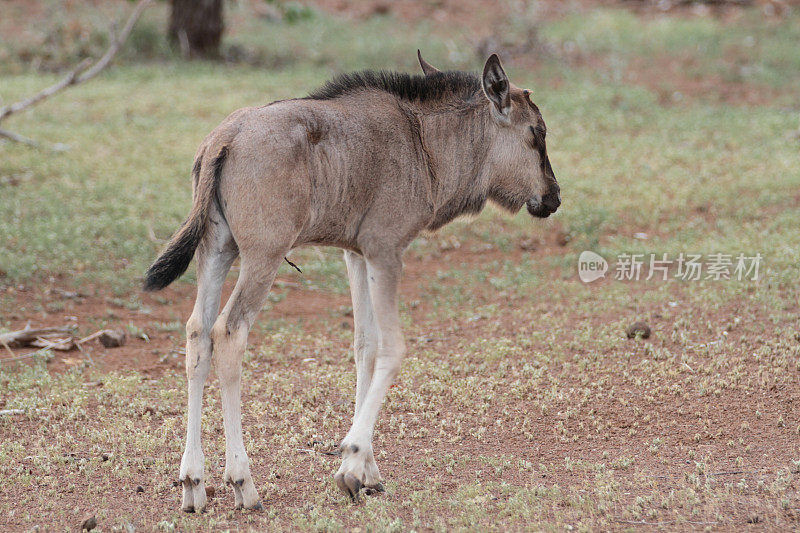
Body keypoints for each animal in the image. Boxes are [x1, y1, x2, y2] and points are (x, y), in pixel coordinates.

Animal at [144, 51, 560, 512]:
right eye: (536, 133)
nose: (554, 196)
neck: (423, 142)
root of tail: (223, 139)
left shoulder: (355, 254)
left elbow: (366, 346)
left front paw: (366, 471)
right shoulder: (385, 250)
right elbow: (393, 349)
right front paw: (352, 461)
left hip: (217, 251)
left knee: (198, 334)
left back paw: (193, 483)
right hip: (262, 258)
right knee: (229, 333)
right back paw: (243, 482)